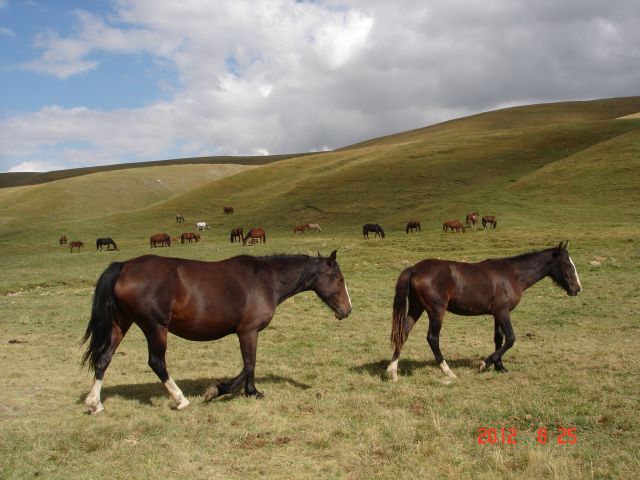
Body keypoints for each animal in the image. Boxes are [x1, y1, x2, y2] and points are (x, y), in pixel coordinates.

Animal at [80, 251, 352, 412]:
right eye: (339, 279)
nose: (348, 310)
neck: (265, 280)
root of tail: (123, 267)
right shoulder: (248, 331)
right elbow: (249, 365)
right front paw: (218, 391)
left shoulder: (249, 333)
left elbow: (250, 364)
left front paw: (252, 393)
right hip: (155, 328)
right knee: (157, 362)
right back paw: (180, 399)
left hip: (121, 324)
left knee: (104, 358)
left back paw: (94, 403)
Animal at [388, 242, 584, 380]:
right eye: (567, 264)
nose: (577, 289)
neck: (512, 275)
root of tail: (415, 269)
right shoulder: (503, 312)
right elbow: (511, 339)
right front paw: (485, 364)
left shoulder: (497, 314)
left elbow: (499, 339)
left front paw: (500, 367)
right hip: (436, 311)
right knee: (432, 338)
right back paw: (447, 371)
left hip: (416, 308)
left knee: (403, 333)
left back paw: (392, 371)